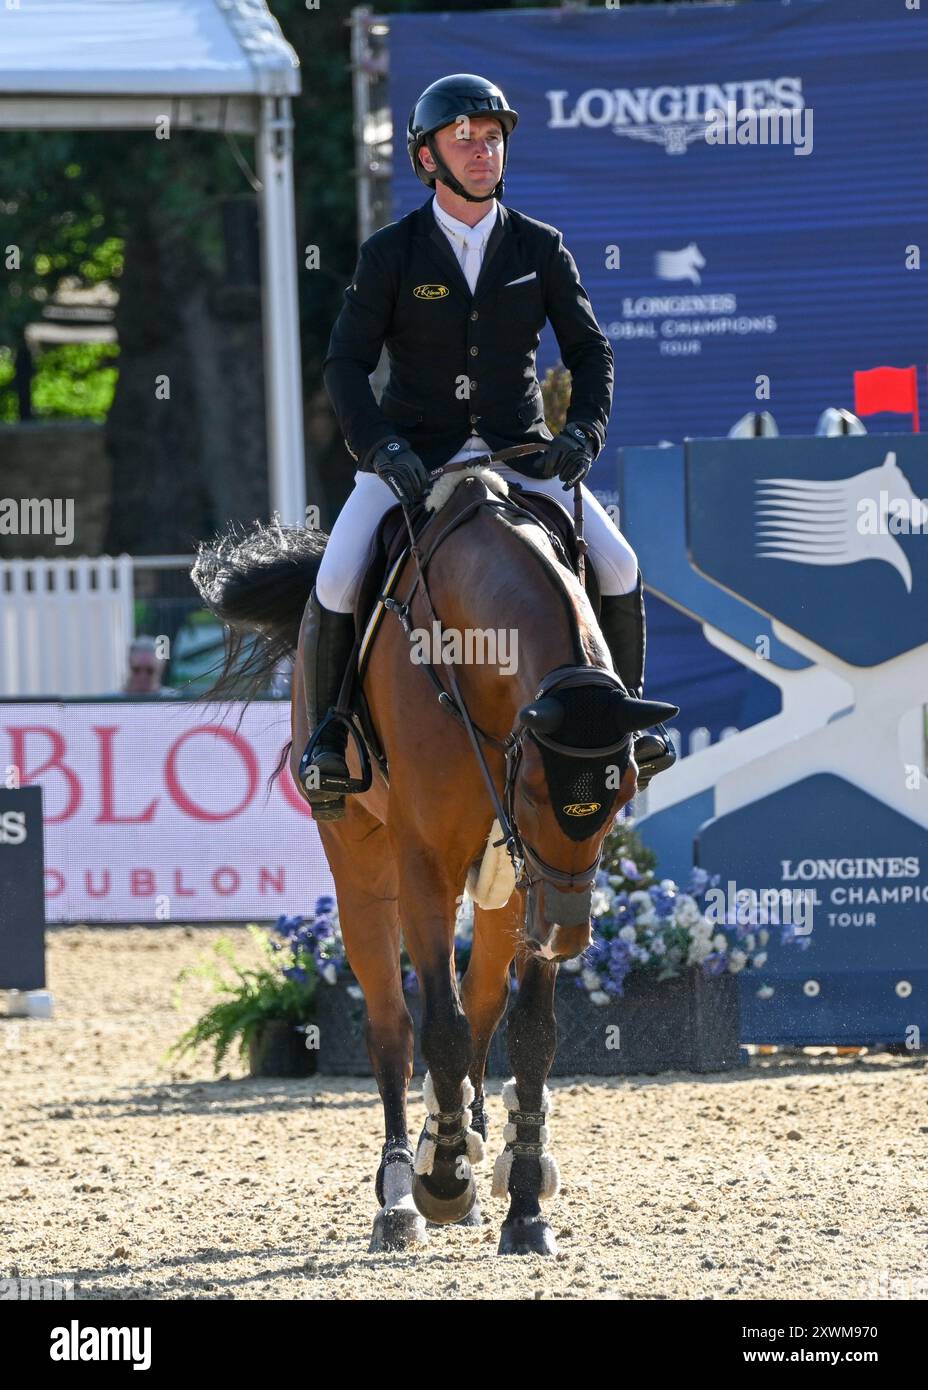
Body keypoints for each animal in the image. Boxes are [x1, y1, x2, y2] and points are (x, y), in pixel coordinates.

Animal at [194, 464, 675, 1262]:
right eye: (534, 789)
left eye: (625, 791)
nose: (565, 936)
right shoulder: (428, 863)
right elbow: (438, 1027)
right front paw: (443, 1179)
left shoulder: (527, 875)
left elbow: (527, 1032)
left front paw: (522, 1204)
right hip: (363, 869)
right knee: (392, 1026)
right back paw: (399, 1191)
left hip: (503, 890)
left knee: (479, 1010)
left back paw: (477, 1152)